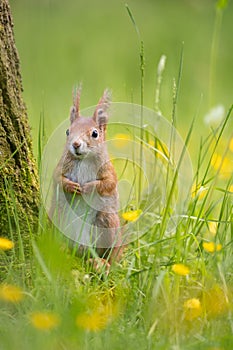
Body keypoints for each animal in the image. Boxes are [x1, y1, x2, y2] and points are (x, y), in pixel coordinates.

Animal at [50, 87, 123, 266]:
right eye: (67, 131)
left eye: (95, 133)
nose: (75, 144)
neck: (83, 159)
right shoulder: (60, 167)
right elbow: (57, 179)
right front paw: (71, 186)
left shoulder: (108, 170)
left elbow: (108, 183)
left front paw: (88, 187)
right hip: (58, 216)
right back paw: (63, 249)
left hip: (108, 223)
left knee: (110, 255)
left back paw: (102, 263)